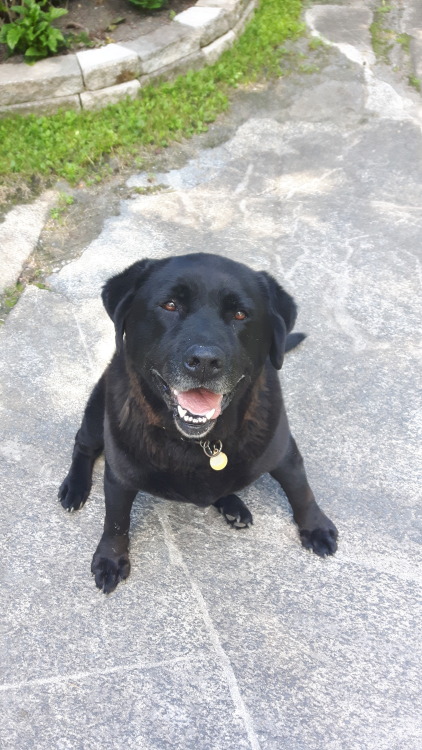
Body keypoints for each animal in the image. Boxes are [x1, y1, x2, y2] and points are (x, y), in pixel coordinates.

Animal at [58, 256, 336, 596]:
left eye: (240, 314)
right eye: (169, 305)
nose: (204, 362)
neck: (201, 442)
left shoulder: (284, 452)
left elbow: (301, 491)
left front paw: (316, 527)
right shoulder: (120, 474)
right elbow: (115, 522)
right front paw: (111, 559)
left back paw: (233, 506)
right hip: (97, 411)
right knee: (83, 444)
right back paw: (75, 487)